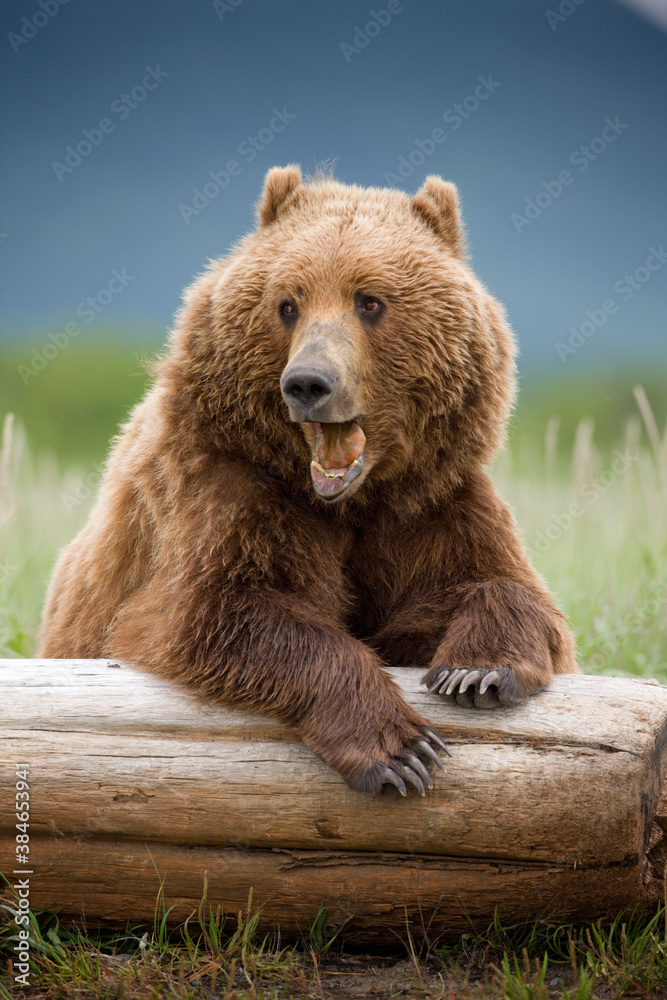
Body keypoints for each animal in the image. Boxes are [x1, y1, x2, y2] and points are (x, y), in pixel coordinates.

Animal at [39, 165, 577, 796]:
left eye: (369, 300)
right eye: (288, 304)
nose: (308, 383)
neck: (353, 500)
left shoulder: (431, 505)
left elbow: (504, 589)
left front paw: (476, 671)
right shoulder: (229, 491)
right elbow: (214, 610)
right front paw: (398, 749)